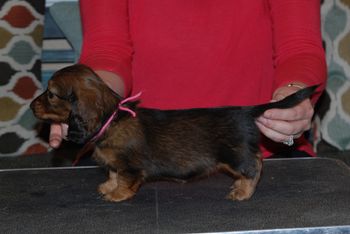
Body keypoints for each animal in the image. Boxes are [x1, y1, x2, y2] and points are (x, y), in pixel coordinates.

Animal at [30, 65, 318, 202]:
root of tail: (246, 110)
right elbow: (112, 173)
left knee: (255, 166)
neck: (112, 119)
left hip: (235, 155)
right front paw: (107, 186)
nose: (32, 106)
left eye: (51, 94)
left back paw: (243, 191)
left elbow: (124, 179)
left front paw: (117, 194)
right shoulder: (115, 164)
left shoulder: (130, 166)